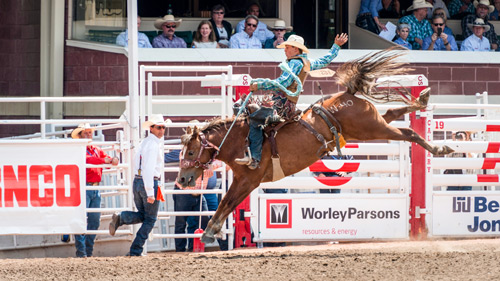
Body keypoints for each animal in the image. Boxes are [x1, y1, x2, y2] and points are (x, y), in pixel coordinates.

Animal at [175, 48, 454, 243]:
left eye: (191, 151)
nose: (182, 180)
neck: (240, 139)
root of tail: (348, 94)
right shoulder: (243, 180)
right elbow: (227, 203)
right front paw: (211, 231)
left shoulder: (248, 180)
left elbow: (228, 202)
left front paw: (209, 232)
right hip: (370, 125)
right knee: (395, 115)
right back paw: (422, 100)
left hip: (372, 128)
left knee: (408, 132)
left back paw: (440, 147)